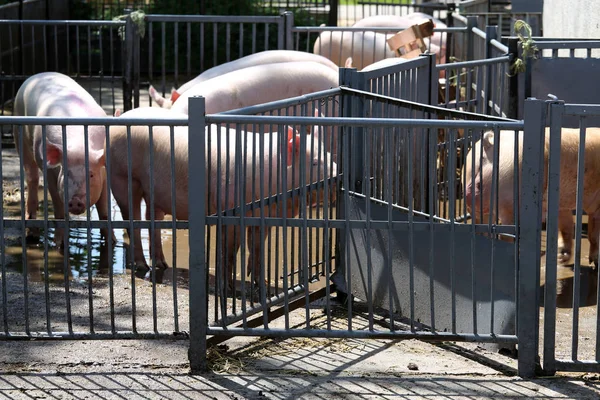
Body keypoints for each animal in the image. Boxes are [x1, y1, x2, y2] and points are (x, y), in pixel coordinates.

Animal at [12, 72, 112, 247]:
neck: (80, 144)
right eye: (66, 172)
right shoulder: (51, 173)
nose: (75, 200)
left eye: (91, 174)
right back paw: (32, 235)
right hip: (20, 135)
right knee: (31, 176)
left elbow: (104, 212)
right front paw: (60, 245)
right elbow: (59, 210)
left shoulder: (104, 173)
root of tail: (39, 75)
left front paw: (112, 242)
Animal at [466, 128, 600, 266]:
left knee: (482, 228)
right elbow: (593, 232)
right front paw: (594, 263)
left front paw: (561, 259)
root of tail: (488, 145)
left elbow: (566, 227)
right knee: (506, 235)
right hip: (510, 196)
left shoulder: (562, 205)